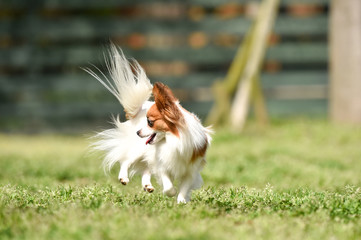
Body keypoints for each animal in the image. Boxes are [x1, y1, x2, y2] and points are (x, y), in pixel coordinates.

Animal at [85, 45, 211, 202]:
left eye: (150, 122)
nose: (138, 132)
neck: (172, 139)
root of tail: (140, 109)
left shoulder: (191, 169)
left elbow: (184, 187)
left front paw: (182, 201)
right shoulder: (161, 164)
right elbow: (169, 186)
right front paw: (171, 193)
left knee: (146, 169)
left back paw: (147, 186)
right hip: (138, 149)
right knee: (126, 160)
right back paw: (123, 178)